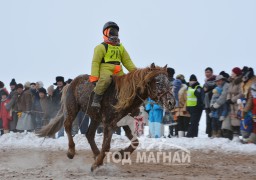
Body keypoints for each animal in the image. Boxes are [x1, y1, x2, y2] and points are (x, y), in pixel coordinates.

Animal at [37, 63, 176, 172]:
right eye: (157, 82)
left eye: (169, 81)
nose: (171, 102)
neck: (122, 95)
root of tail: (70, 84)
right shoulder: (109, 124)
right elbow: (106, 145)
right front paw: (96, 165)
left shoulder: (124, 123)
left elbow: (135, 142)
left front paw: (119, 154)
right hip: (72, 109)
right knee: (67, 126)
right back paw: (72, 151)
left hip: (95, 117)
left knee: (89, 134)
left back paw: (96, 155)